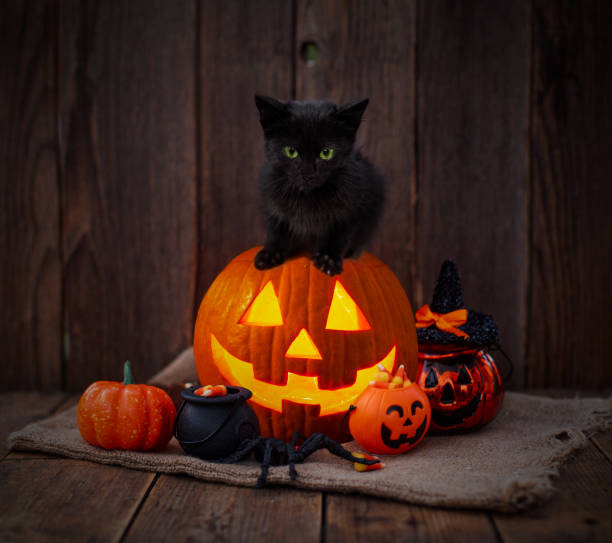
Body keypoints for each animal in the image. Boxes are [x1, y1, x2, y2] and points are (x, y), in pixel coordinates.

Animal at [252, 94, 382, 276]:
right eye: (291, 151)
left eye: (326, 153)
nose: (308, 175)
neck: (309, 198)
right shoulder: (272, 201)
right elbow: (276, 229)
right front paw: (270, 253)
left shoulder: (355, 206)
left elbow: (341, 233)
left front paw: (328, 258)